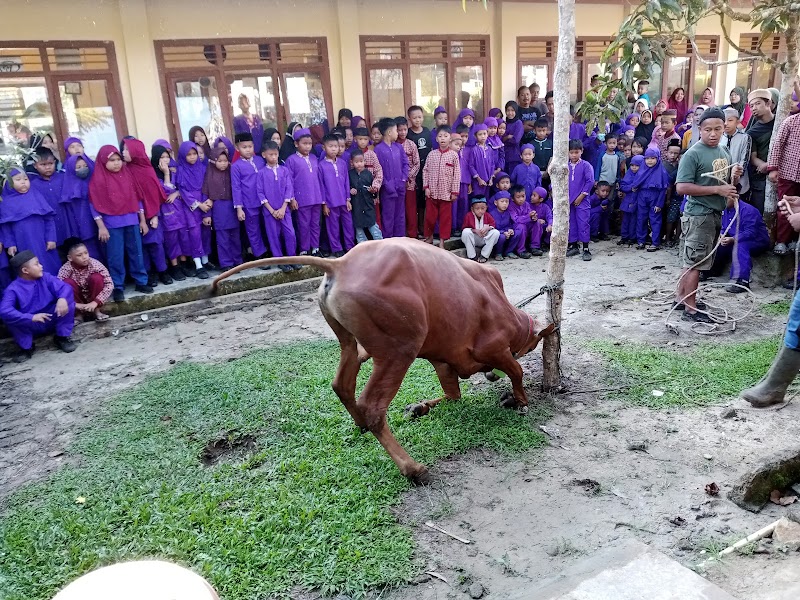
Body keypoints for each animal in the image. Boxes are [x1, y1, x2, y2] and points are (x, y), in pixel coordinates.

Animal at [209, 238, 552, 482]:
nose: (490, 376)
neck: (507, 310)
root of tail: (340, 264)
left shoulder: (443, 361)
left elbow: (453, 394)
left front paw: (420, 406)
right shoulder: (495, 349)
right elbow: (516, 371)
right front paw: (520, 400)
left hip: (350, 342)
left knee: (342, 386)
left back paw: (361, 424)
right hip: (399, 351)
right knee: (373, 407)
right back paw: (413, 469)